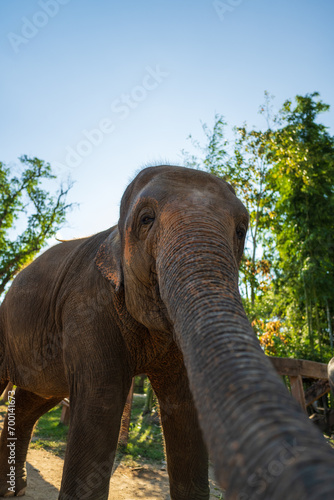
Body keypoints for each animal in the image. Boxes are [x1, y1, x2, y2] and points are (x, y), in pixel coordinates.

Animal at [0, 166, 334, 498]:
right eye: (146, 219)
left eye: (241, 230)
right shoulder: (85, 307)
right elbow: (101, 401)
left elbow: (184, 405)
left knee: (36, 399)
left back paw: (13, 488)